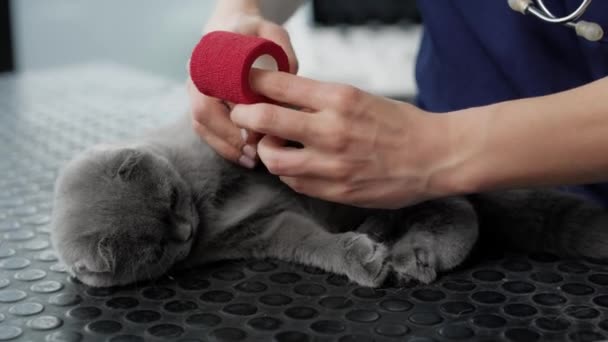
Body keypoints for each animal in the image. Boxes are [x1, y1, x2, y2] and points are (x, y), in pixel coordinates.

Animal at [51, 113, 608, 288]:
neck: (208, 205)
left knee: (458, 209)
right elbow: (312, 242)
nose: (185, 231)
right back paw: (401, 248)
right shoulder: (266, 231)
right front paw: (361, 257)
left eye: (169, 200)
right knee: (459, 213)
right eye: (154, 250)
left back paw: (414, 251)